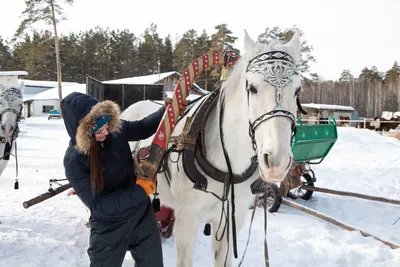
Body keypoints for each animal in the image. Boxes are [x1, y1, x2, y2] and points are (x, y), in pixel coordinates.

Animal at [122, 30, 304, 266]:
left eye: (297, 90)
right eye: (252, 88)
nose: (277, 162)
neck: (229, 168)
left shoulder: (231, 220)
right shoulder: (187, 220)